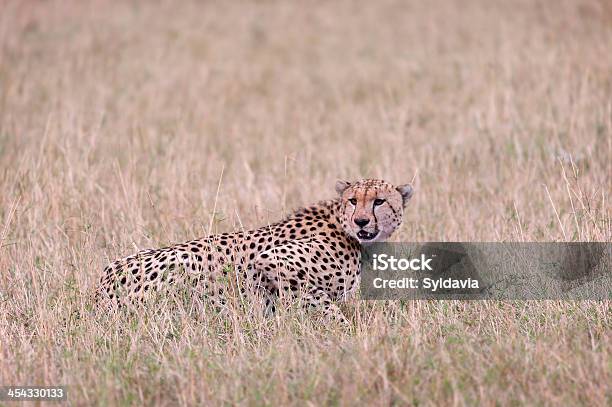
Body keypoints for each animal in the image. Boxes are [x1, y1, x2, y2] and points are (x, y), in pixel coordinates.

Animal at [95, 180, 414, 324]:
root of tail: (99, 290)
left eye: (379, 201)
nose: (361, 221)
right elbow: (324, 305)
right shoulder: (273, 262)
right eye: (353, 201)